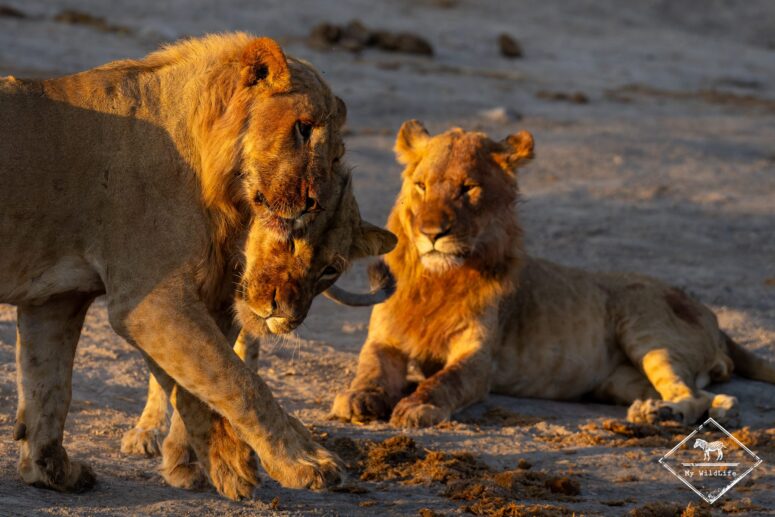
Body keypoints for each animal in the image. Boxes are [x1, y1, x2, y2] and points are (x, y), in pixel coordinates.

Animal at [0, 33, 395, 499]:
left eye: (331, 269)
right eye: (302, 127)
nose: (314, 202)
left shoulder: (57, 299)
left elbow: (49, 389)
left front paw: (50, 471)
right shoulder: (148, 300)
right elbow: (235, 380)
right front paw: (293, 461)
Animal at [331, 120, 775, 429]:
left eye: (467, 188)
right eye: (421, 186)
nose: (431, 232)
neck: (437, 279)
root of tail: (715, 318)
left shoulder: (477, 357)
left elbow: (446, 380)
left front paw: (416, 404)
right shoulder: (384, 339)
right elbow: (370, 370)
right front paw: (358, 398)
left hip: (647, 327)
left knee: (692, 395)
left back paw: (663, 415)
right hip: (620, 379)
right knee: (707, 397)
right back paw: (676, 411)